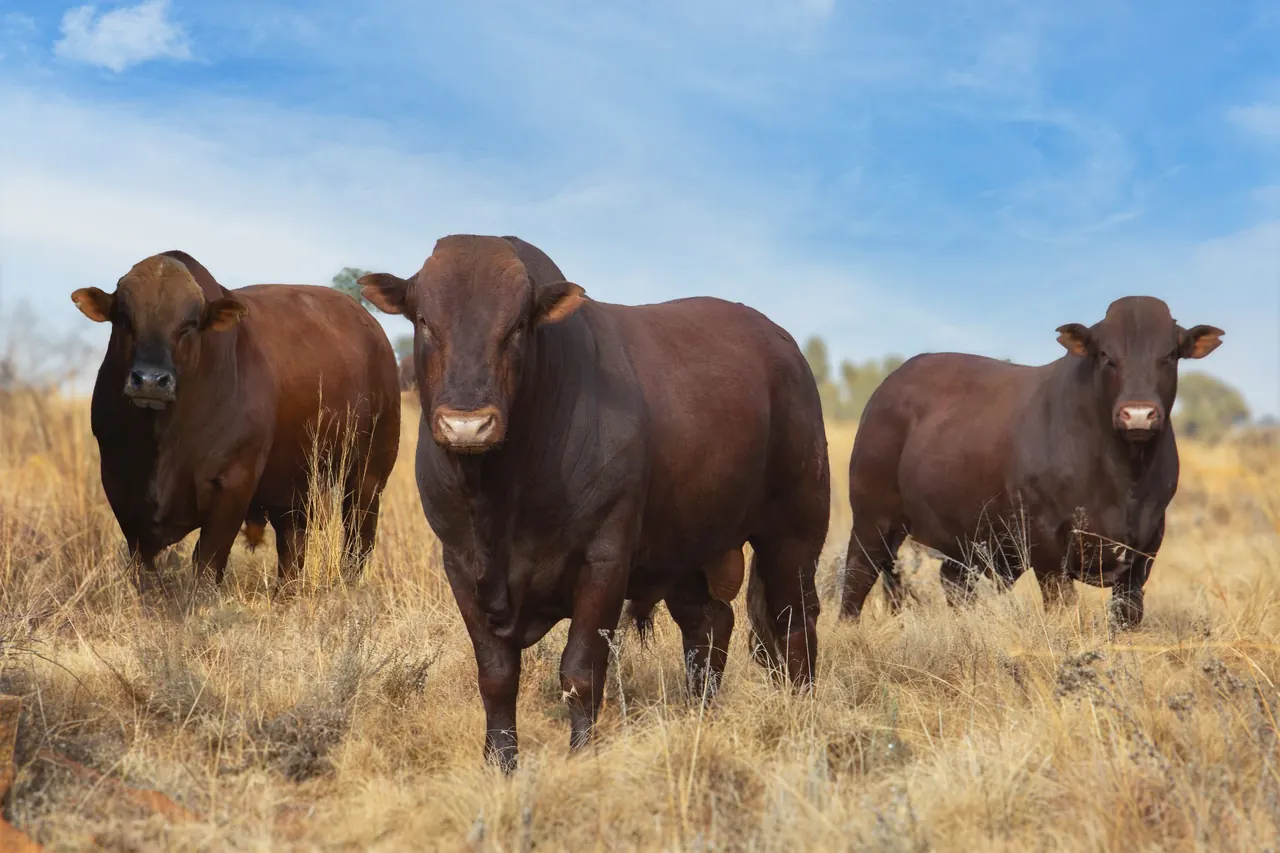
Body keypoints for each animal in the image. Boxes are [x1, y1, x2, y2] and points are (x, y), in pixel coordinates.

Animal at [71, 251, 401, 592]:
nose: (150, 381)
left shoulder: (232, 486)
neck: (161, 439)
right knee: (292, 545)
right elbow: (145, 570)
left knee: (358, 539)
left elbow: (207, 565)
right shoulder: (119, 487)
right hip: (293, 486)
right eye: (124, 319)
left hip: (369, 475)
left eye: (189, 324)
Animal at [359, 235, 829, 772]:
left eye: (517, 325)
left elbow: (580, 672)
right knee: (709, 627)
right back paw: (699, 718)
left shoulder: (604, 560)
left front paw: (583, 755)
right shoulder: (460, 564)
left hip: (795, 532)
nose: (467, 424)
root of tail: (783, 344)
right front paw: (500, 762)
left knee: (794, 623)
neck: (500, 495)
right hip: (686, 549)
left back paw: (800, 712)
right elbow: (496, 675)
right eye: (423, 320)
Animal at [839, 295, 1223, 629]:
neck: (1124, 479)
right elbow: (1062, 605)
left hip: (962, 534)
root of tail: (892, 382)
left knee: (951, 582)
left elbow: (1128, 613)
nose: (1138, 414)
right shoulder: (1045, 538)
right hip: (873, 514)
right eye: (1106, 355)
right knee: (859, 573)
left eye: (1169, 354)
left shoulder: (1146, 543)